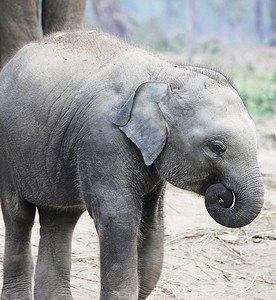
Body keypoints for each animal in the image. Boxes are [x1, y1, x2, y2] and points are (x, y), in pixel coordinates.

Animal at [0, 31, 264, 300]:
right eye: (217, 147)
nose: (221, 194)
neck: (166, 73)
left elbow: (152, 222)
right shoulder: (103, 138)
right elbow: (119, 220)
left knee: (61, 218)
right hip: (8, 151)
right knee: (18, 214)